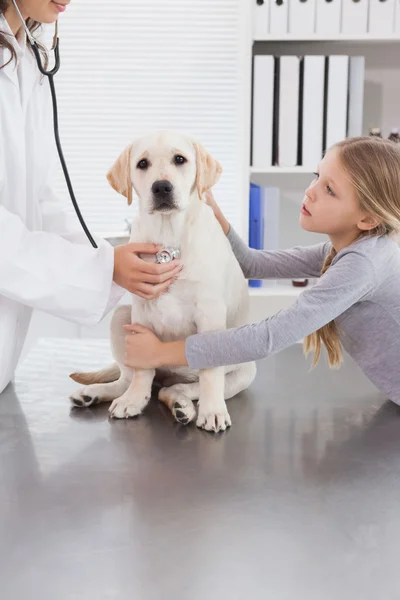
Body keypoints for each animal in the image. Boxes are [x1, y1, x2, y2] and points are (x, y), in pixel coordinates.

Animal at [69, 131, 255, 432]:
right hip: (121, 318)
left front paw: (212, 411)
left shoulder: (210, 314)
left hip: (242, 372)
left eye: (180, 159)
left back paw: (184, 405)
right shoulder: (141, 311)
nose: (161, 188)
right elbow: (142, 369)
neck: (169, 234)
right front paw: (134, 400)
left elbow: (210, 372)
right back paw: (97, 393)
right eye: (142, 164)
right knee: (129, 378)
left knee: (180, 388)